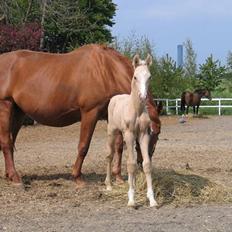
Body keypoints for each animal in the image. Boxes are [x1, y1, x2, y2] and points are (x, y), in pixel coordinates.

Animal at [0, 44, 160, 188]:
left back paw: (9, 175)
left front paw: (118, 177)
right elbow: (84, 146)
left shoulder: (114, 118)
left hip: (18, 112)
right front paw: (77, 177)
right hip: (5, 106)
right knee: (6, 143)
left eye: (150, 77)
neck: (107, 71)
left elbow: (118, 146)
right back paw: (15, 177)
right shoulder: (90, 113)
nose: (142, 163)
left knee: (11, 140)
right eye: (152, 133)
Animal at [105, 54, 158, 208]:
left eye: (149, 77)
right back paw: (108, 185)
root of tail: (115, 98)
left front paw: (152, 199)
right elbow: (131, 164)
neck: (136, 109)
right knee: (110, 155)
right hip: (112, 131)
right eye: (135, 77)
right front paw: (132, 200)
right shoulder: (128, 134)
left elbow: (146, 164)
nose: (143, 96)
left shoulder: (143, 135)